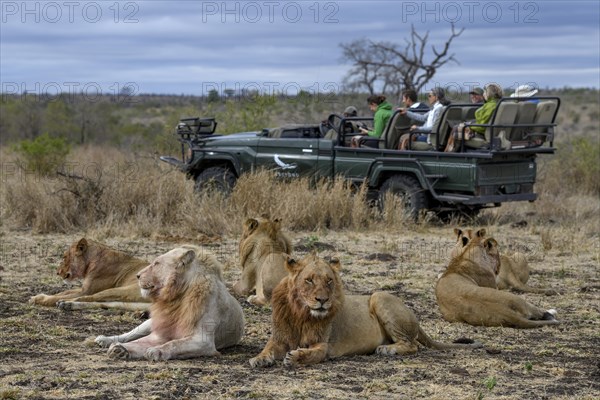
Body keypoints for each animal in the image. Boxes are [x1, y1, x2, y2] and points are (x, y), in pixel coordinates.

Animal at [94, 245, 244, 360]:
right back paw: (105, 339)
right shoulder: (159, 333)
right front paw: (119, 349)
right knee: (131, 334)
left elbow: (174, 344)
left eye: (156, 263)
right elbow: (138, 342)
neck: (176, 297)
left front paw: (156, 351)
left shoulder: (203, 341)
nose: (137, 275)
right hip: (150, 322)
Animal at [248, 253, 482, 368]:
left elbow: (312, 354)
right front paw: (259, 359)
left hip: (379, 296)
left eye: (329, 281)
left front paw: (296, 358)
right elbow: (267, 349)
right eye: (309, 280)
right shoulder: (279, 338)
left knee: (413, 345)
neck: (301, 314)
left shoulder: (324, 345)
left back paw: (387, 349)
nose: (322, 300)